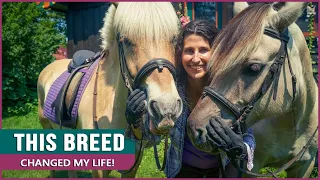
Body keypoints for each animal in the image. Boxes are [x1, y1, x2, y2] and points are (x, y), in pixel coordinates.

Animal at [37, 2, 182, 178]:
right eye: (126, 41)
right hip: (46, 127)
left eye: (174, 39)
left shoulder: (133, 164)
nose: (166, 108)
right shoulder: (99, 168)